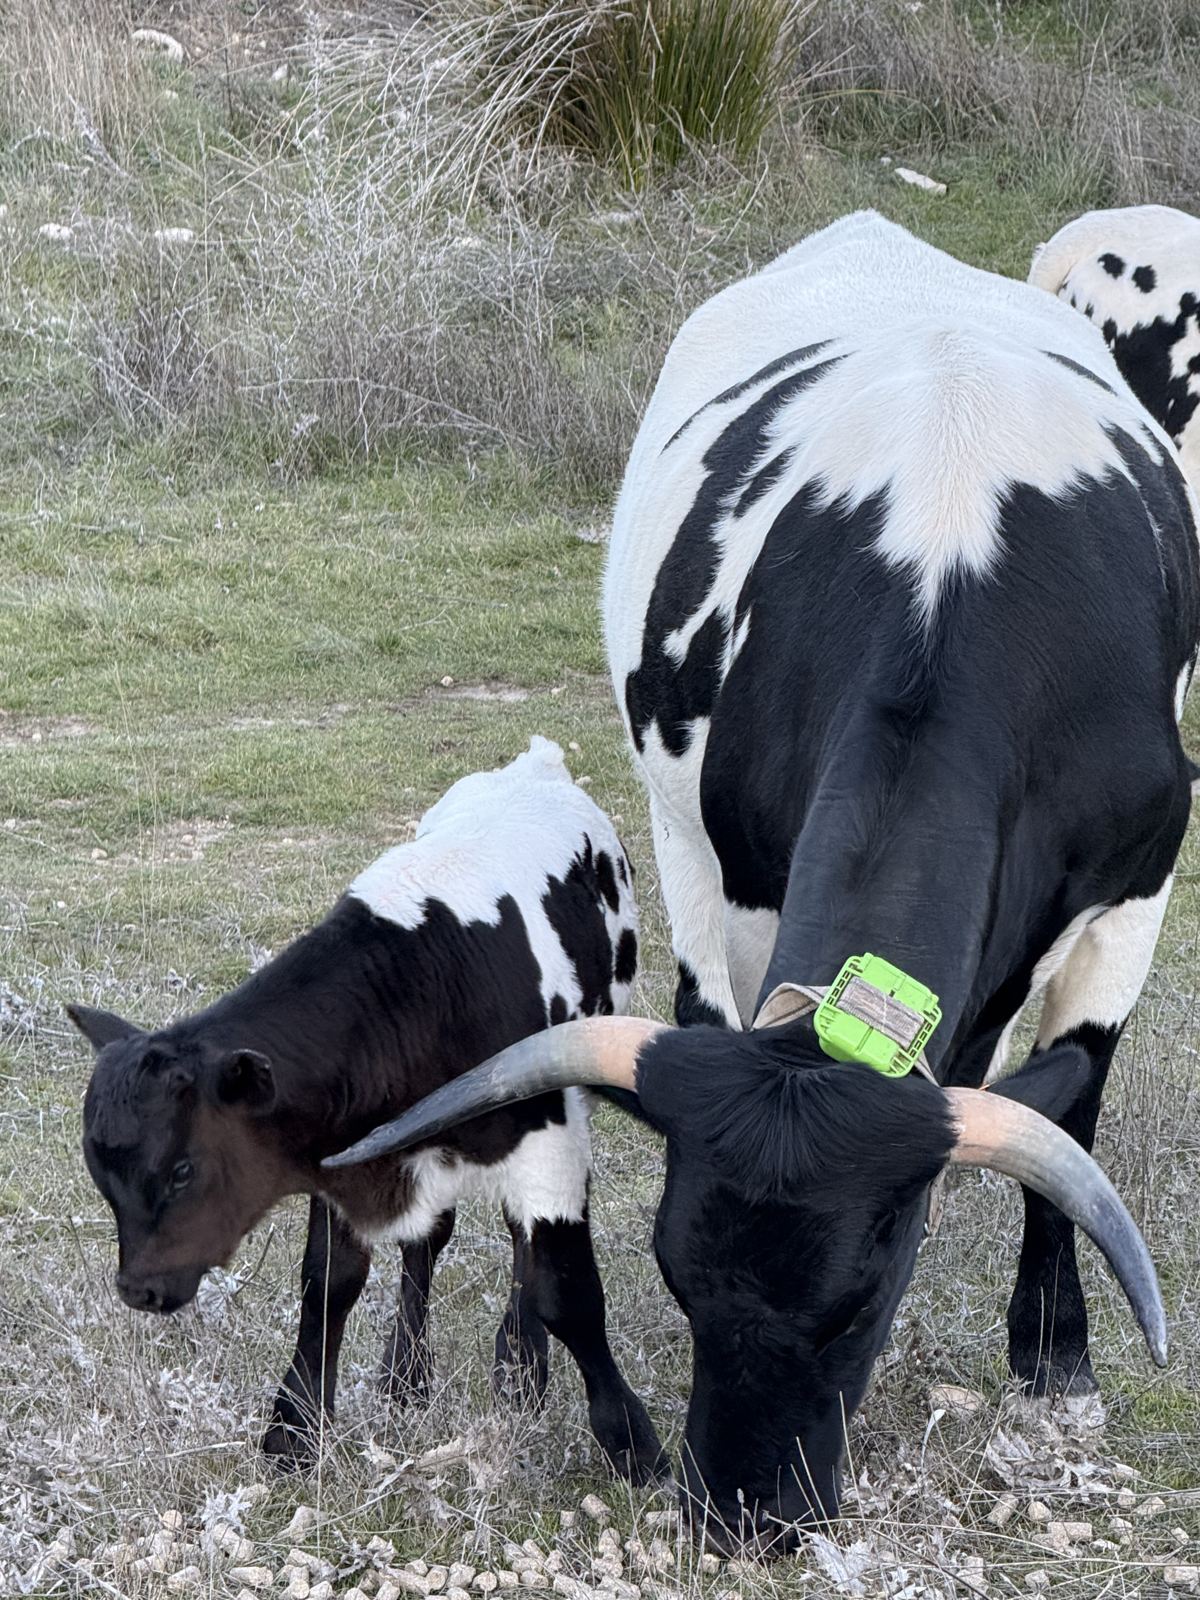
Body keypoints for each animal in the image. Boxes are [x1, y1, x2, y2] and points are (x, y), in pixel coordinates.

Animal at [69, 736, 664, 1483]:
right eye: (102, 1177)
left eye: (181, 1171)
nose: (137, 1290)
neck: (422, 986)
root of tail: (534, 763)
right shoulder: (344, 1153)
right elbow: (330, 1281)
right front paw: (295, 1426)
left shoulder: (545, 1136)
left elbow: (568, 1291)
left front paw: (630, 1441)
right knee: (428, 1242)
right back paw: (407, 1373)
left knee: (521, 1243)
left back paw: (520, 1365)